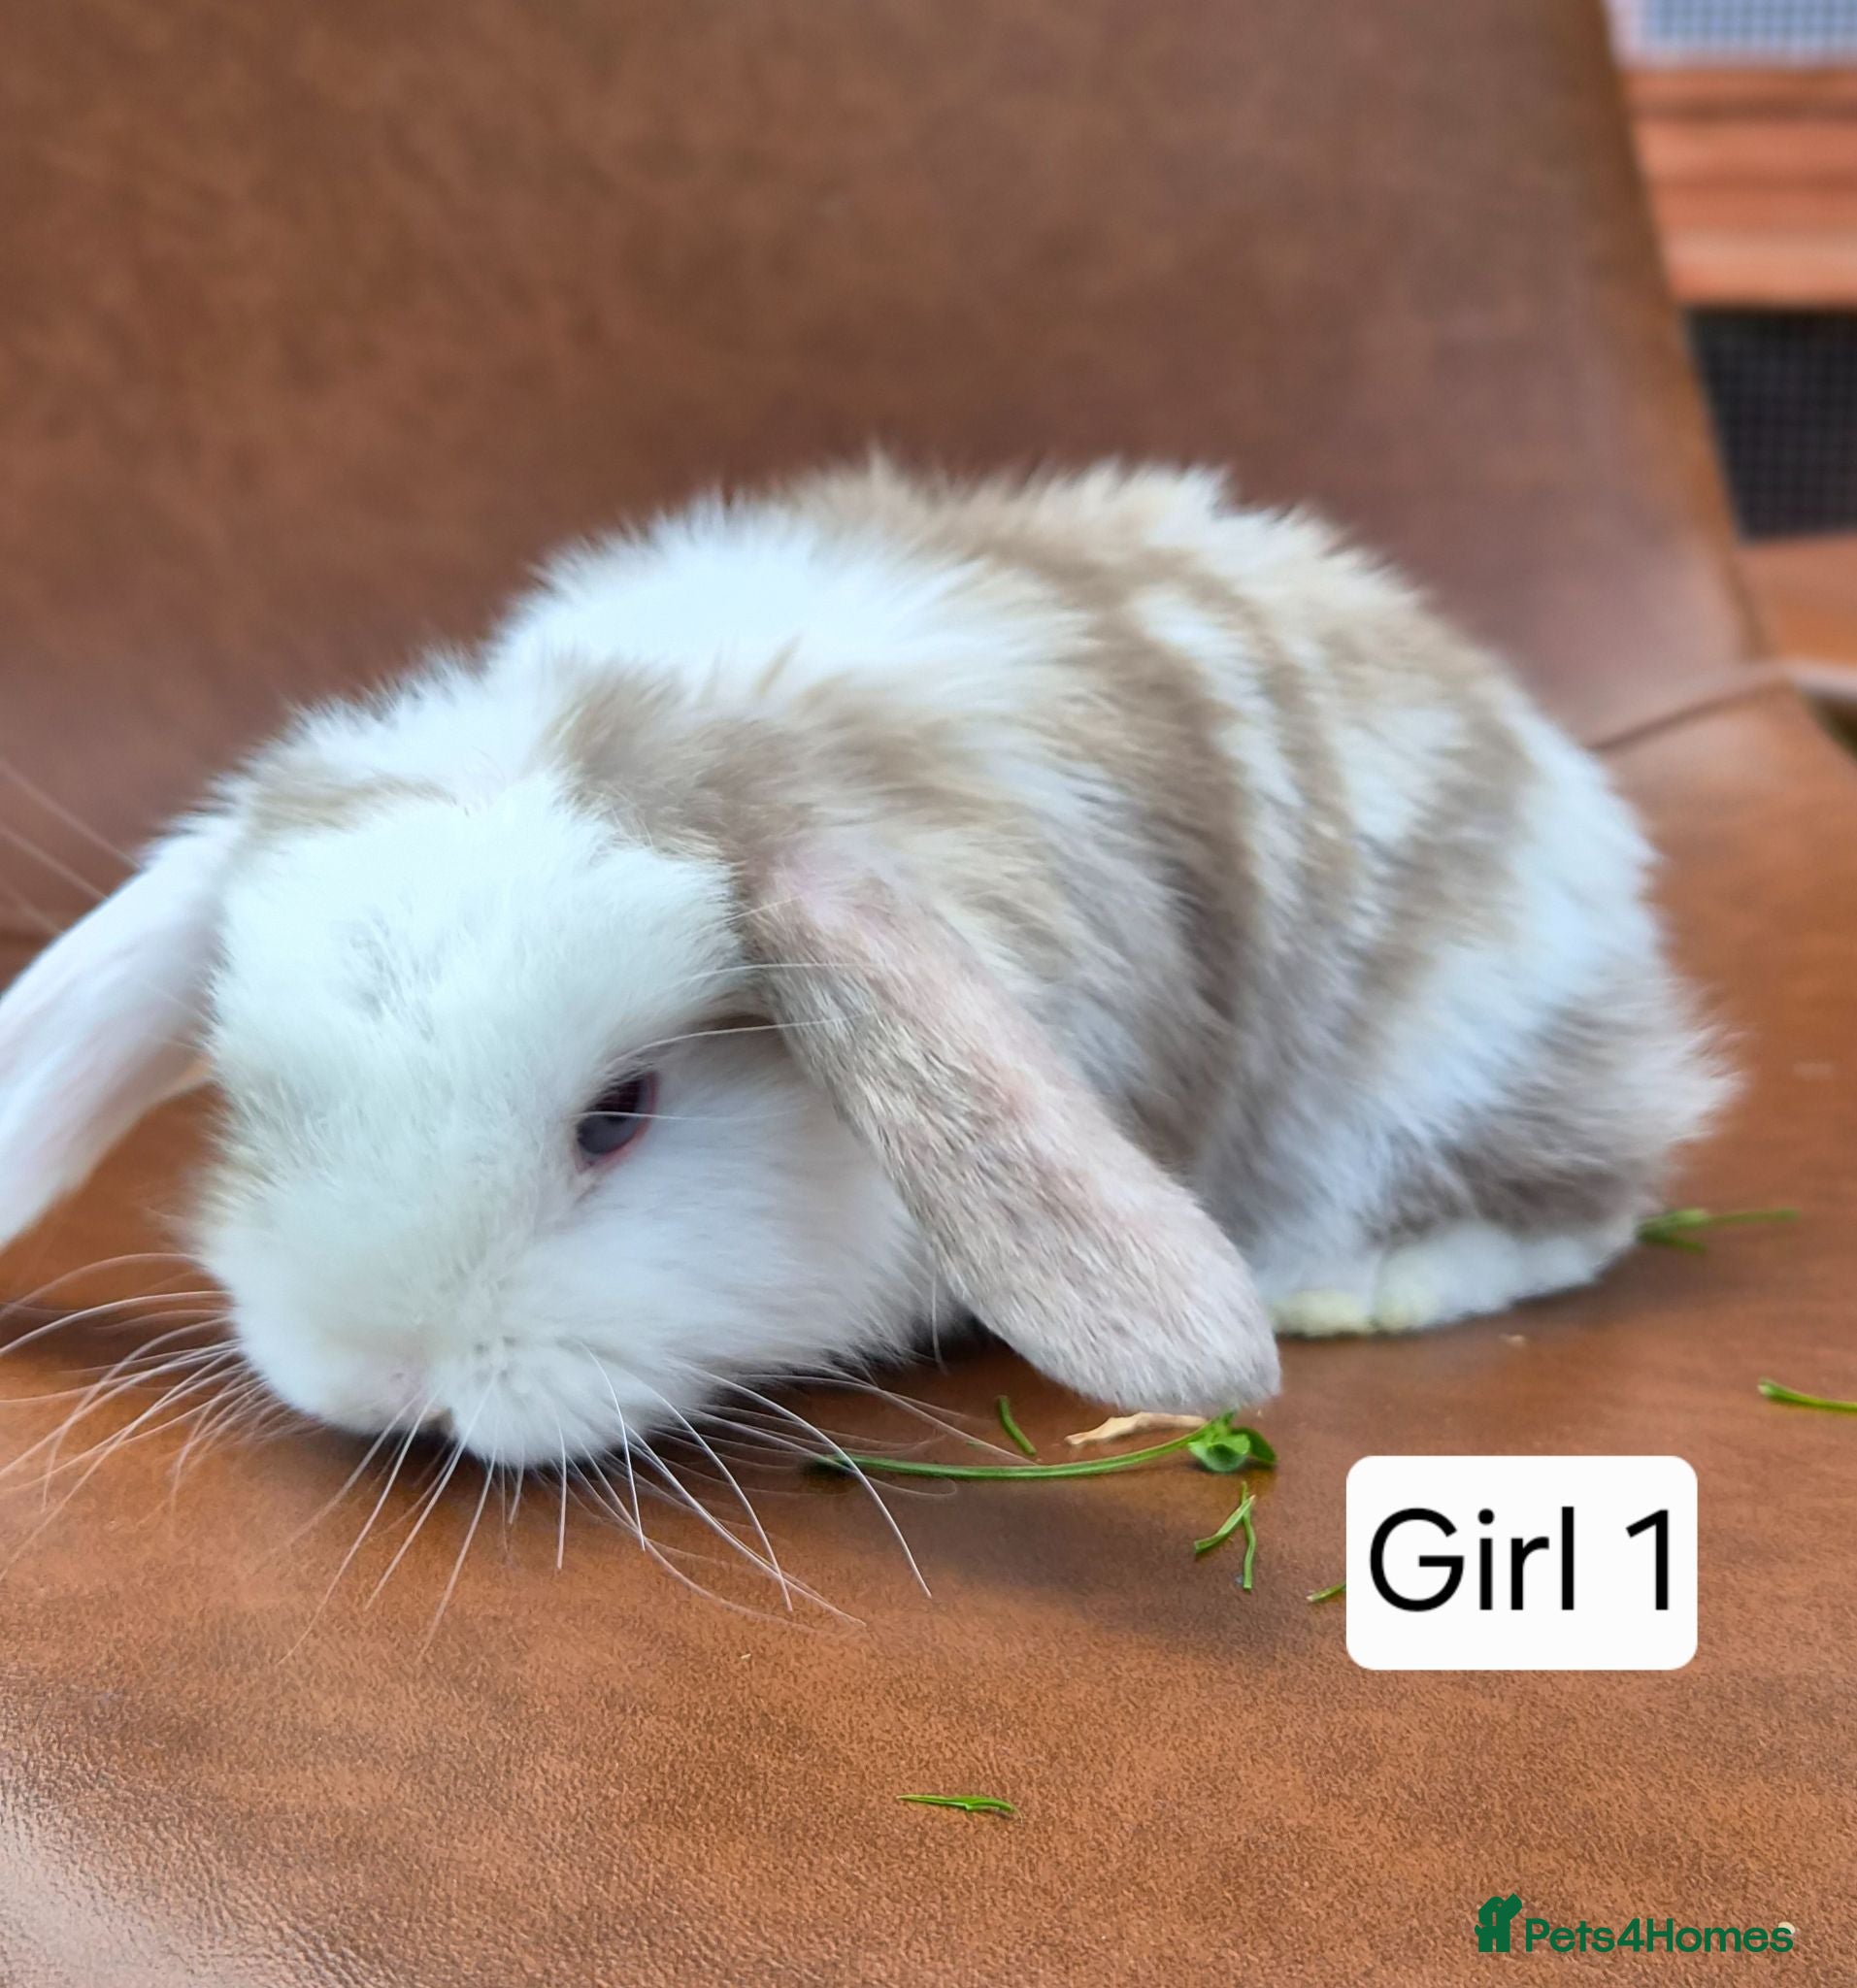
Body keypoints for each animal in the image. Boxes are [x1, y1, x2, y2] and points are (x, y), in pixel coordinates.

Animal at [0, 462, 1726, 1467]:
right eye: (256, 1110)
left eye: (620, 1114)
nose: (380, 1378)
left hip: (1463, 1054)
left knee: (1576, 1204)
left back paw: (1351, 1287)